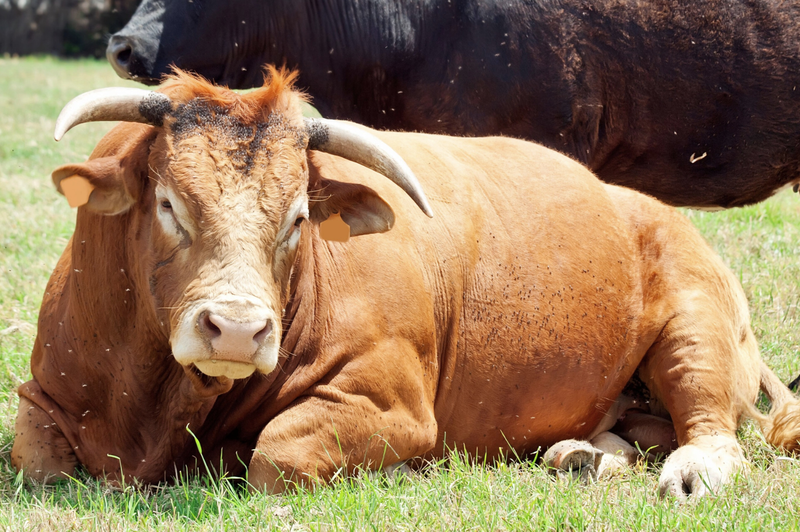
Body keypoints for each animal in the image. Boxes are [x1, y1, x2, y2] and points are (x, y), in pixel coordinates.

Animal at [12, 69, 800, 498]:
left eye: (298, 218)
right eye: (169, 203)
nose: (236, 330)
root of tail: (638, 202)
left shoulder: (392, 405)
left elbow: (277, 456)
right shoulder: (43, 394)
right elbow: (36, 461)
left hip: (696, 323)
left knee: (710, 428)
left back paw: (689, 470)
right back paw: (580, 455)